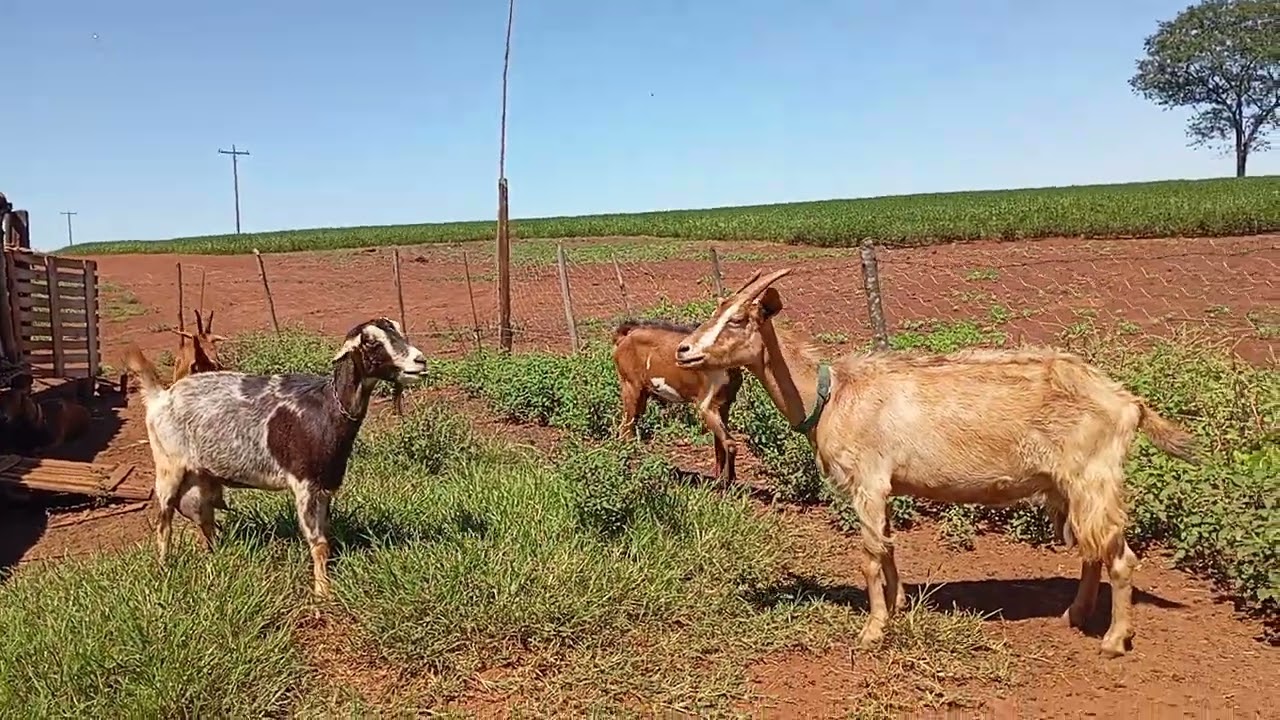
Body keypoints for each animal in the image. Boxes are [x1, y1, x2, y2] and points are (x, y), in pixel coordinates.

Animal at [124, 317, 427, 596]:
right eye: (371, 341)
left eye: (399, 330)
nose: (420, 361)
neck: (327, 407)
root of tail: (160, 397)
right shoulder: (304, 484)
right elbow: (319, 543)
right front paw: (323, 592)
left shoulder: (325, 486)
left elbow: (326, 536)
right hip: (168, 467)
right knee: (164, 520)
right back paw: (164, 567)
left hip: (202, 477)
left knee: (205, 519)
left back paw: (214, 557)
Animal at [612, 319, 744, 484]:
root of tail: (625, 335)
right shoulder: (705, 406)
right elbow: (729, 443)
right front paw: (727, 483)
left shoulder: (725, 405)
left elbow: (719, 444)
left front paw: (721, 480)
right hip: (630, 386)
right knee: (625, 429)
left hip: (642, 393)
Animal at [673, 268, 1199, 658]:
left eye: (739, 319)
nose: (684, 350)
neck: (834, 393)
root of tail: (1128, 402)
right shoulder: (885, 486)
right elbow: (888, 548)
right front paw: (900, 605)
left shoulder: (868, 480)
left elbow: (870, 555)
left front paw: (872, 631)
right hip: (1071, 484)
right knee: (1092, 550)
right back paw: (1073, 617)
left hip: (1094, 476)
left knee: (1120, 557)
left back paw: (1112, 640)